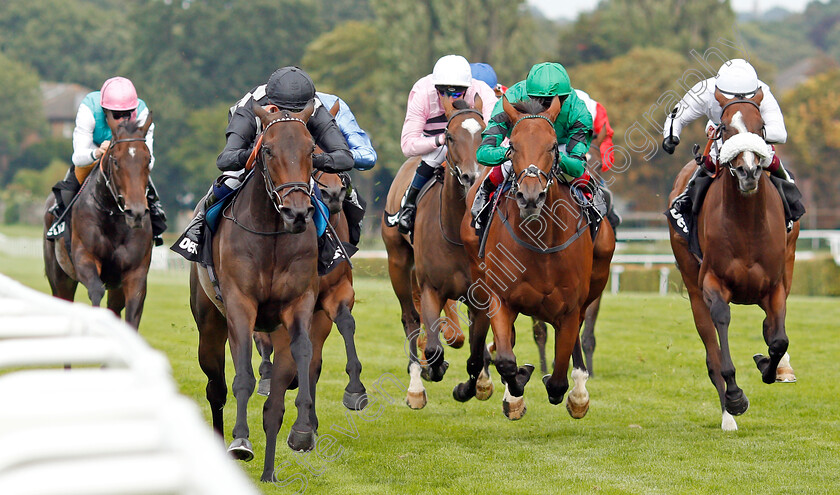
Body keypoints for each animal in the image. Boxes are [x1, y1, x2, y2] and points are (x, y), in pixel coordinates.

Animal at [43, 113, 154, 330]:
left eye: (148, 159)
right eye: (116, 161)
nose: (136, 212)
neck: (114, 218)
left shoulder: (135, 274)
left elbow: (133, 310)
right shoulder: (84, 257)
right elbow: (96, 290)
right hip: (60, 276)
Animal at [668, 88, 800, 430]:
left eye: (761, 127)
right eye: (725, 128)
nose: (748, 171)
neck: (747, 225)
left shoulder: (775, 286)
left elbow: (779, 340)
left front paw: (770, 365)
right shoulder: (712, 283)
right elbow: (722, 327)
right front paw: (736, 397)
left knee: (773, 327)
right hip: (692, 284)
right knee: (711, 349)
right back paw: (728, 413)